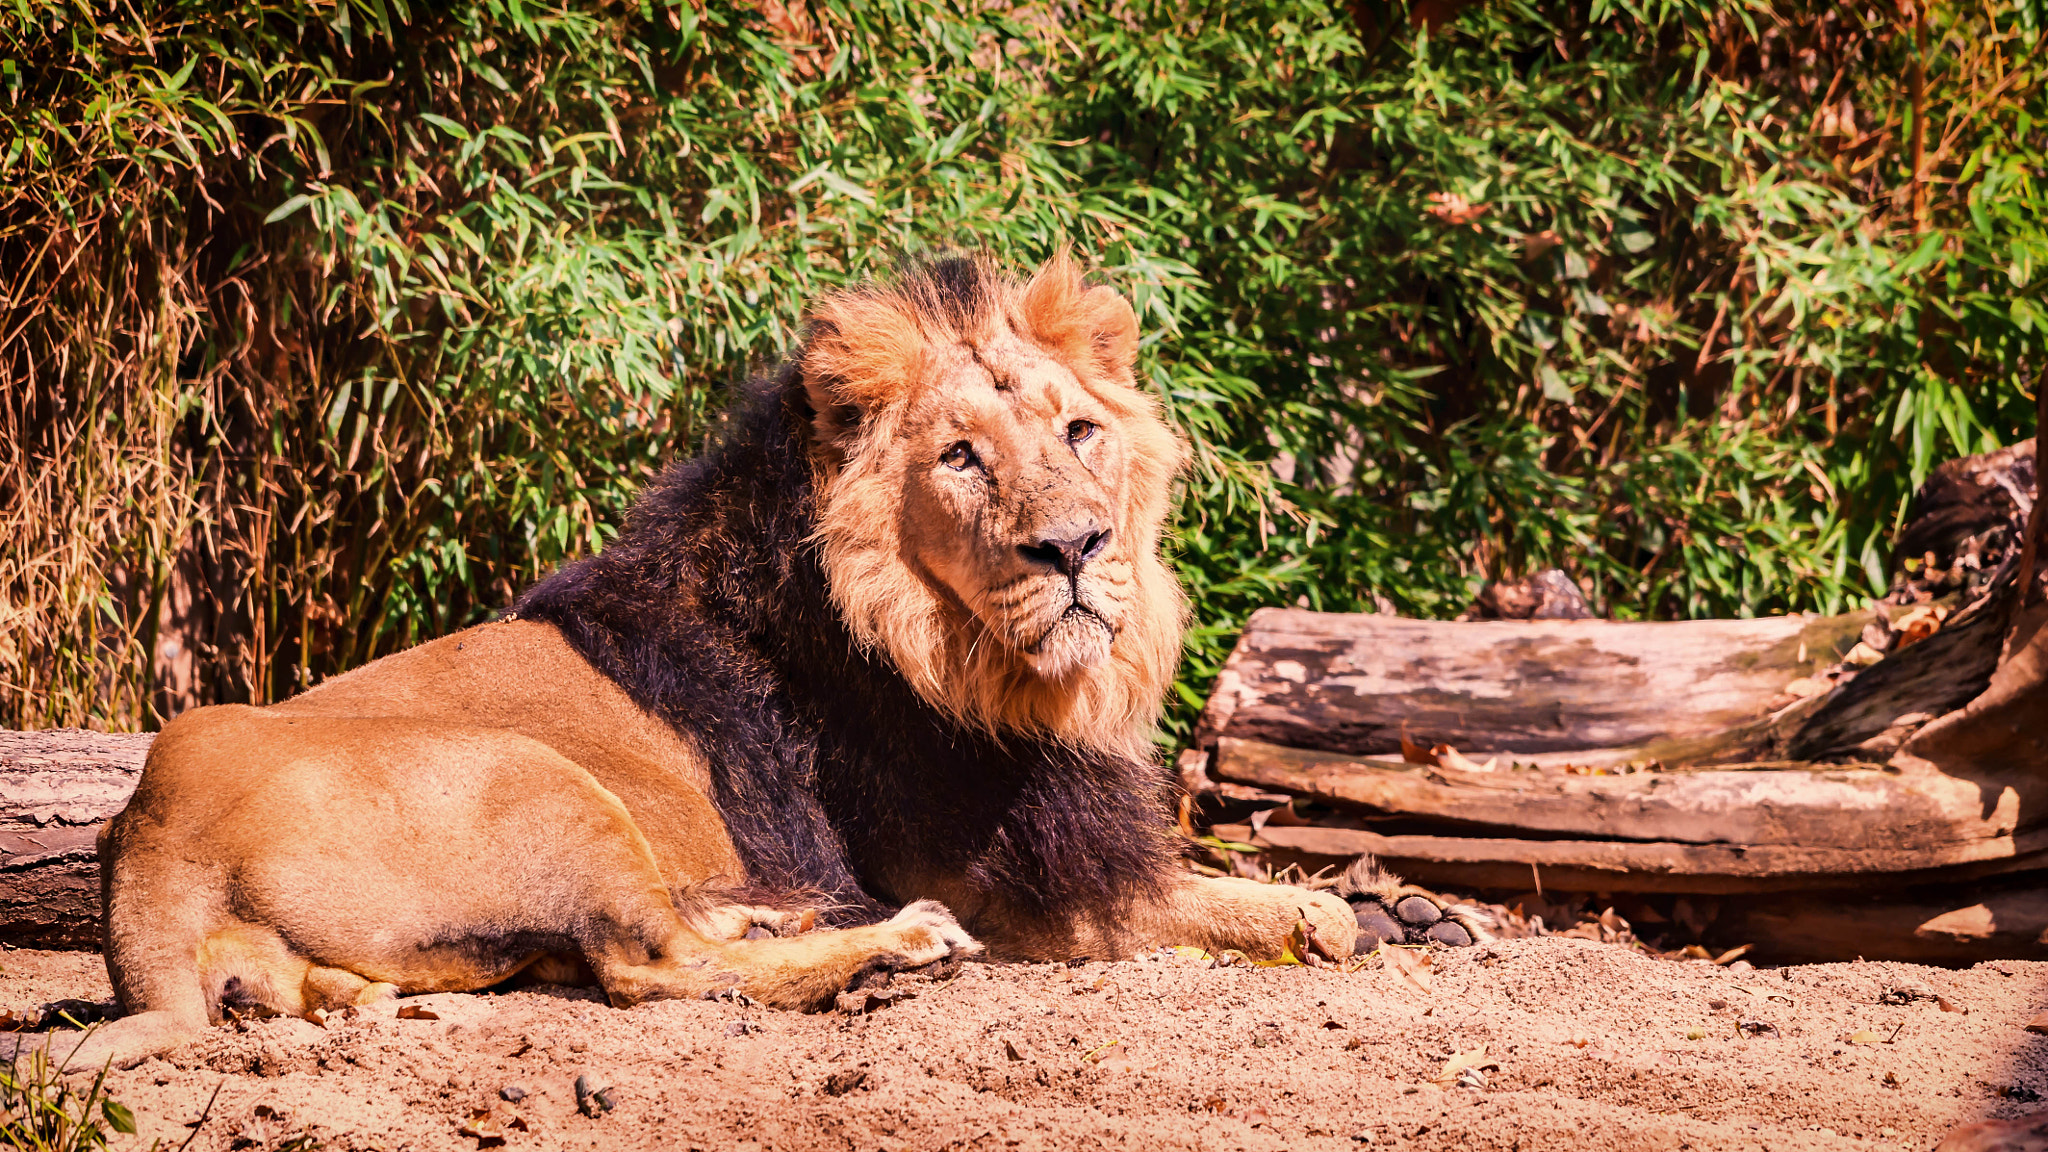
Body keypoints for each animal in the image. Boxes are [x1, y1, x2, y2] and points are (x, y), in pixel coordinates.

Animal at [10, 254, 1479, 1072]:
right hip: (542, 779)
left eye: (1079, 430)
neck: (972, 658)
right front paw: (1323, 921)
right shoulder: (1007, 887)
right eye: (961, 457)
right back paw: (882, 953)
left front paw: (1376, 913)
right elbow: (1166, 910)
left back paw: (777, 923)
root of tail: (149, 843)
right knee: (648, 966)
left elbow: (1242, 894)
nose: (1075, 549)